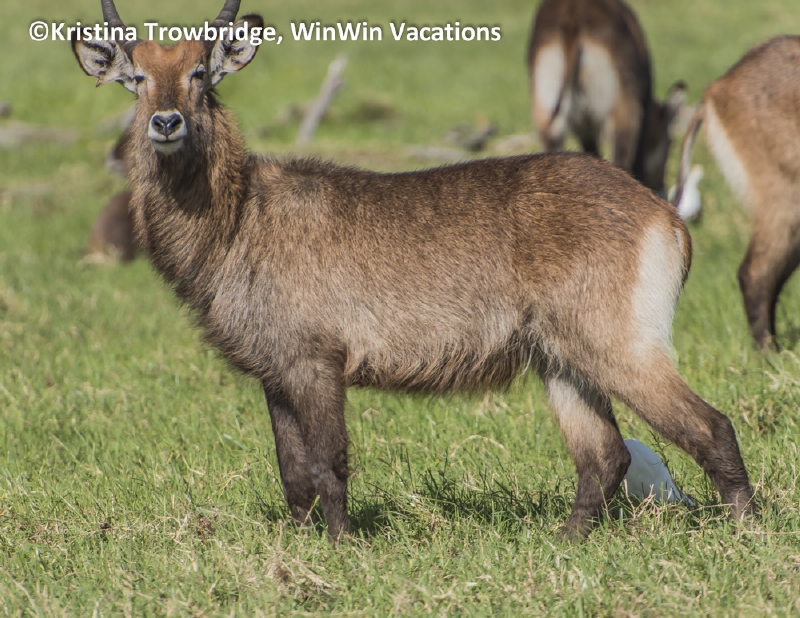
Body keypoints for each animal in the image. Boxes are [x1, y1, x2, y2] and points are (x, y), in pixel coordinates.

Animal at [528, 0, 686, 196]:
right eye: (670, 143)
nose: (661, 188)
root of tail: (571, 15)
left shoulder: (585, 127)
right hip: (621, 114)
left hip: (547, 112)